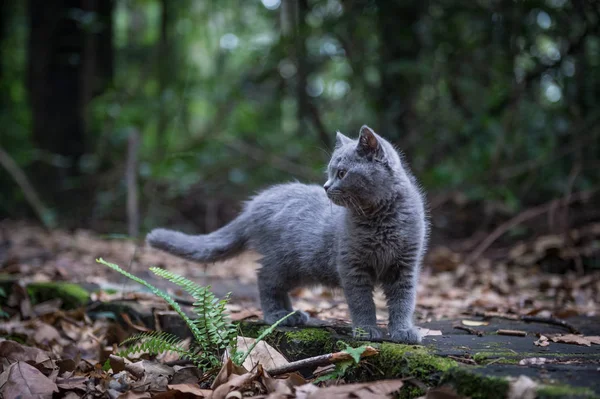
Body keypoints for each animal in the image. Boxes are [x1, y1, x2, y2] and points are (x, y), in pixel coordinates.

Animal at [146, 126, 426, 344]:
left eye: (342, 173)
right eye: (330, 172)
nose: (326, 187)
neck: (380, 218)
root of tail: (256, 204)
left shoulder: (405, 265)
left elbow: (403, 300)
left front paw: (403, 331)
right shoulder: (352, 265)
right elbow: (362, 301)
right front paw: (367, 330)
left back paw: (291, 315)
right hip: (286, 262)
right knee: (265, 279)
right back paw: (277, 316)